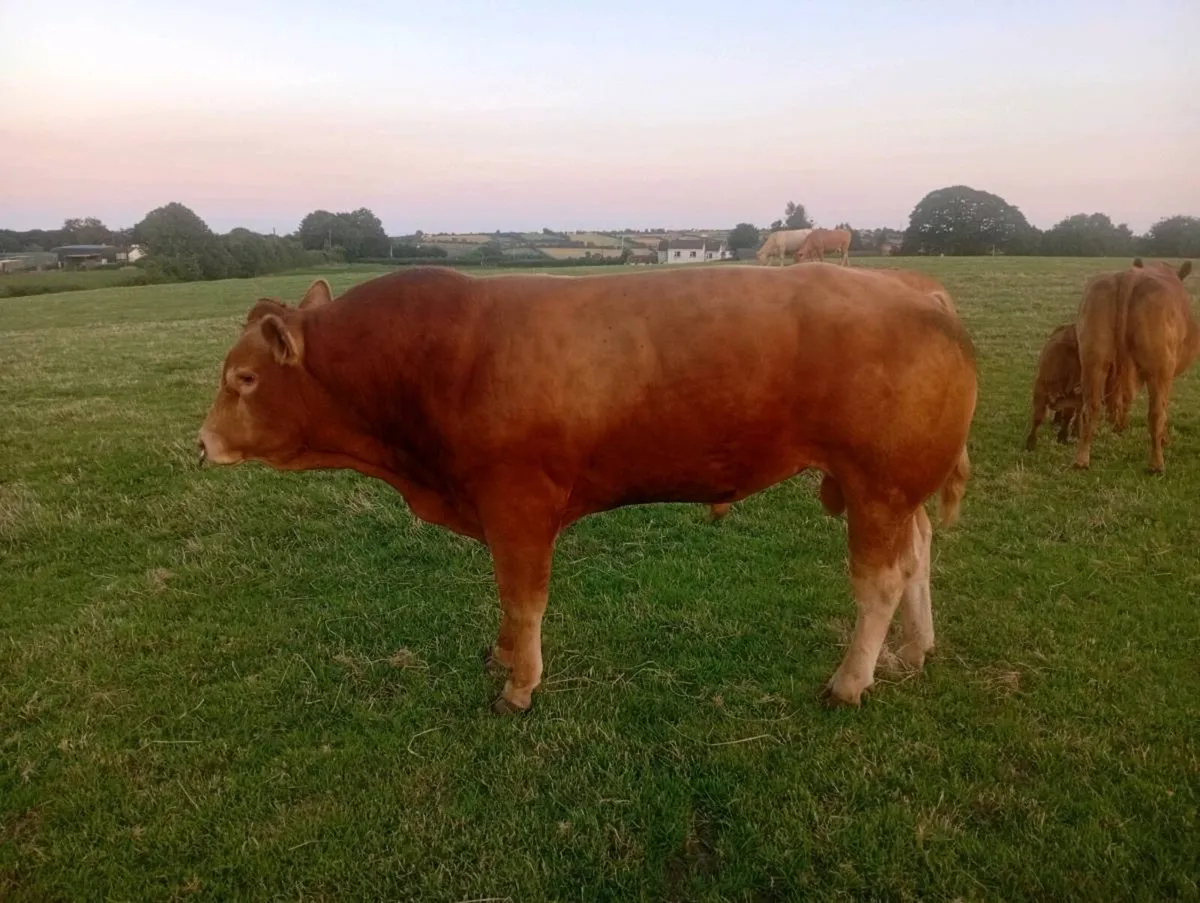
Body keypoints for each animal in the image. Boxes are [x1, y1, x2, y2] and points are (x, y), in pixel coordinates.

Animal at [197, 264, 977, 714]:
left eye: (244, 378)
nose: (200, 443)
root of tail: (916, 288)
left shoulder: (518, 505)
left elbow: (523, 597)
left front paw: (519, 684)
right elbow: (507, 602)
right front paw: (504, 655)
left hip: (877, 483)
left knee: (880, 580)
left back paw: (850, 680)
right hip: (893, 489)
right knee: (917, 557)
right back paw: (913, 651)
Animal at [1073, 258, 1196, 473]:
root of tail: (1129, 275)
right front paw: (1165, 440)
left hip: (1093, 359)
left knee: (1092, 406)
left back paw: (1082, 459)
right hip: (1159, 369)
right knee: (1156, 413)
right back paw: (1156, 464)